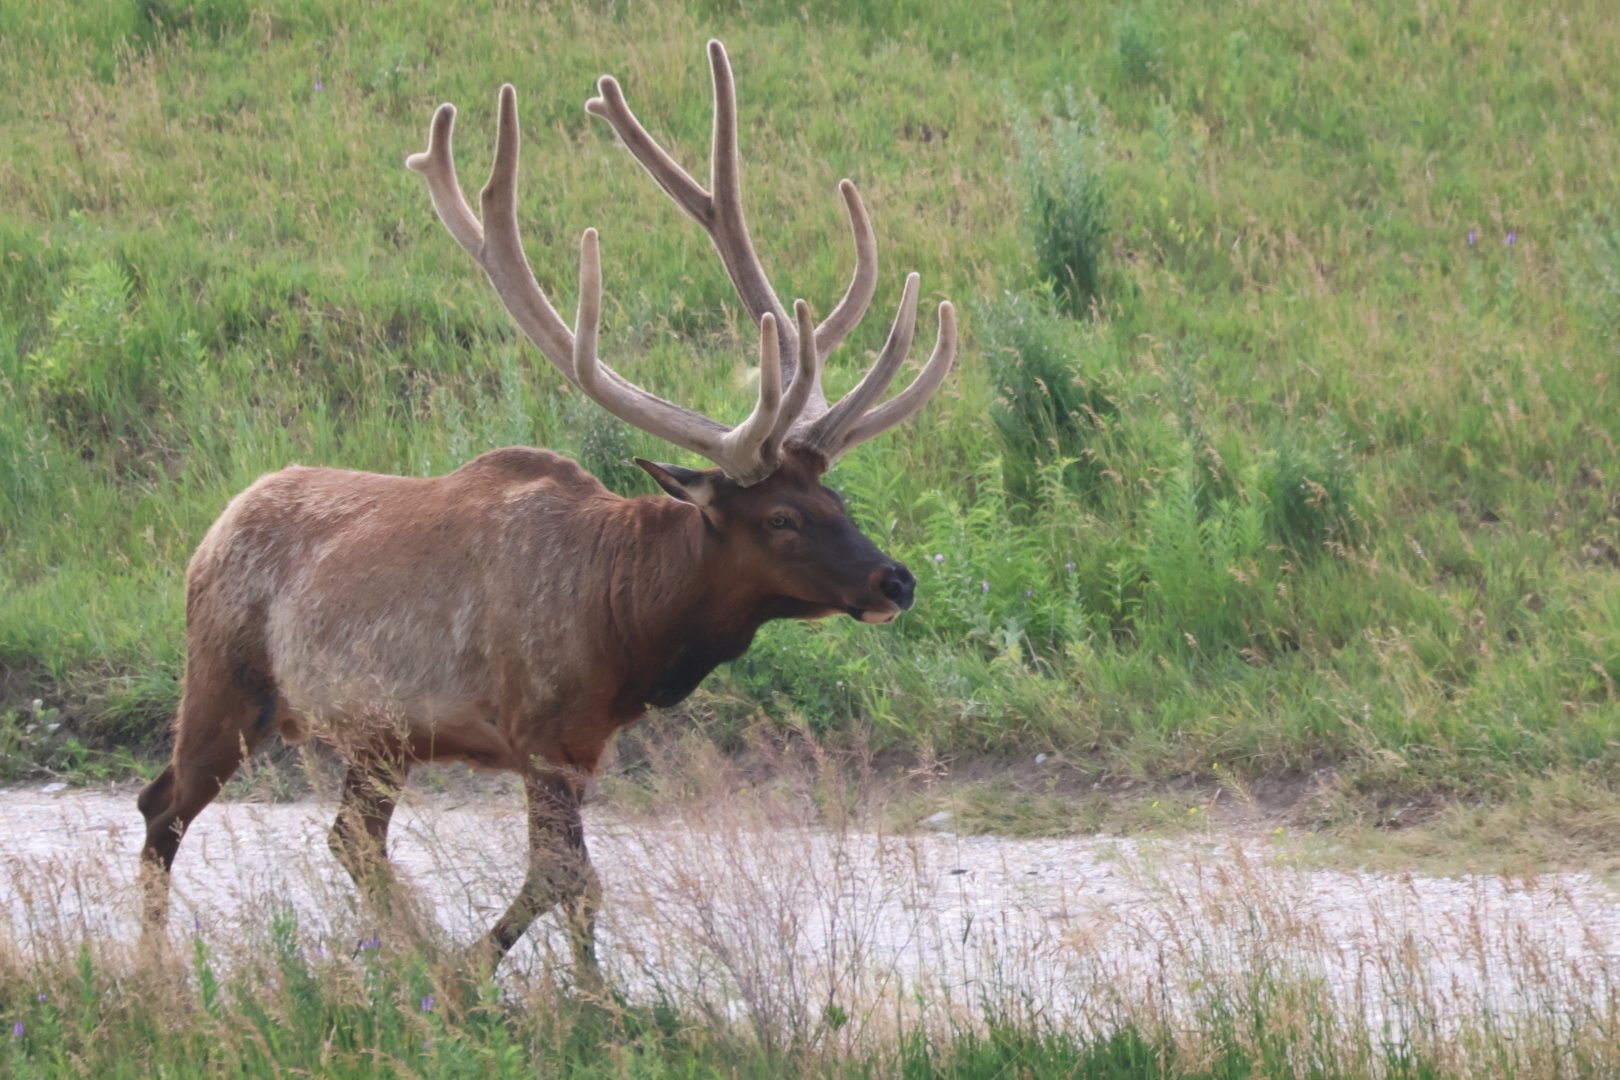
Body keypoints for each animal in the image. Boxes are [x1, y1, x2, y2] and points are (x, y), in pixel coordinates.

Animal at [136, 40, 956, 979]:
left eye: (836, 495)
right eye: (780, 518)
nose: (895, 580)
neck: (631, 625)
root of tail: (212, 529)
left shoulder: (582, 744)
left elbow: (570, 882)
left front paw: (528, 979)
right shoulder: (541, 733)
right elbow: (566, 876)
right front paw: (509, 981)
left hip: (378, 735)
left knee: (347, 836)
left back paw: (401, 951)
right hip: (226, 679)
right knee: (163, 805)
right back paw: (160, 971)